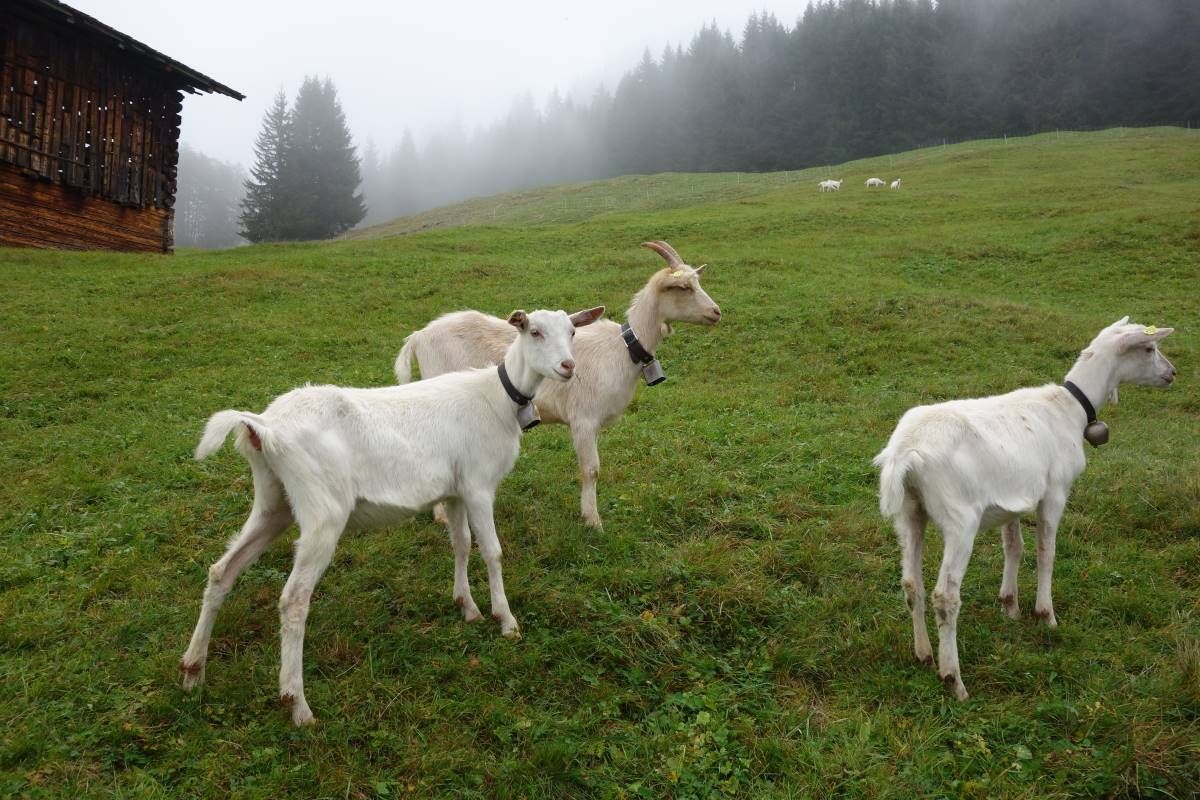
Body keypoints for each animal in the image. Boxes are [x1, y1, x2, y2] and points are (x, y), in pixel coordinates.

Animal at [180, 306, 605, 725]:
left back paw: (192, 671)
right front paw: (506, 620)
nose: (568, 366)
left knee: (222, 571)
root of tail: (262, 426)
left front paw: (467, 606)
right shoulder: (479, 484)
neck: (495, 398)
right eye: (534, 331)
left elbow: (462, 545)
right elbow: (493, 552)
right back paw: (297, 704)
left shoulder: (455, 490)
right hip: (323, 510)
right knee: (294, 599)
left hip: (274, 501)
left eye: (571, 331)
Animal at [396, 241, 721, 530]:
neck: (620, 349)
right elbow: (591, 470)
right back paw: (440, 516)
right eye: (684, 287)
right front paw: (592, 521)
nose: (716, 312)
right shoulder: (583, 419)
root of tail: (418, 337)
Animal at [874, 317, 1176, 700]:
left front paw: (1010, 606)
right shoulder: (1055, 492)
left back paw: (924, 654)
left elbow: (1013, 547)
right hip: (960, 520)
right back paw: (953, 678)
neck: (1070, 408)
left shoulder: (1012, 500)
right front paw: (1045, 615)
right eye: (1149, 348)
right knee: (946, 596)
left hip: (910, 513)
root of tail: (905, 453)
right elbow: (1046, 551)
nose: (1172, 373)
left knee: (912, 584)